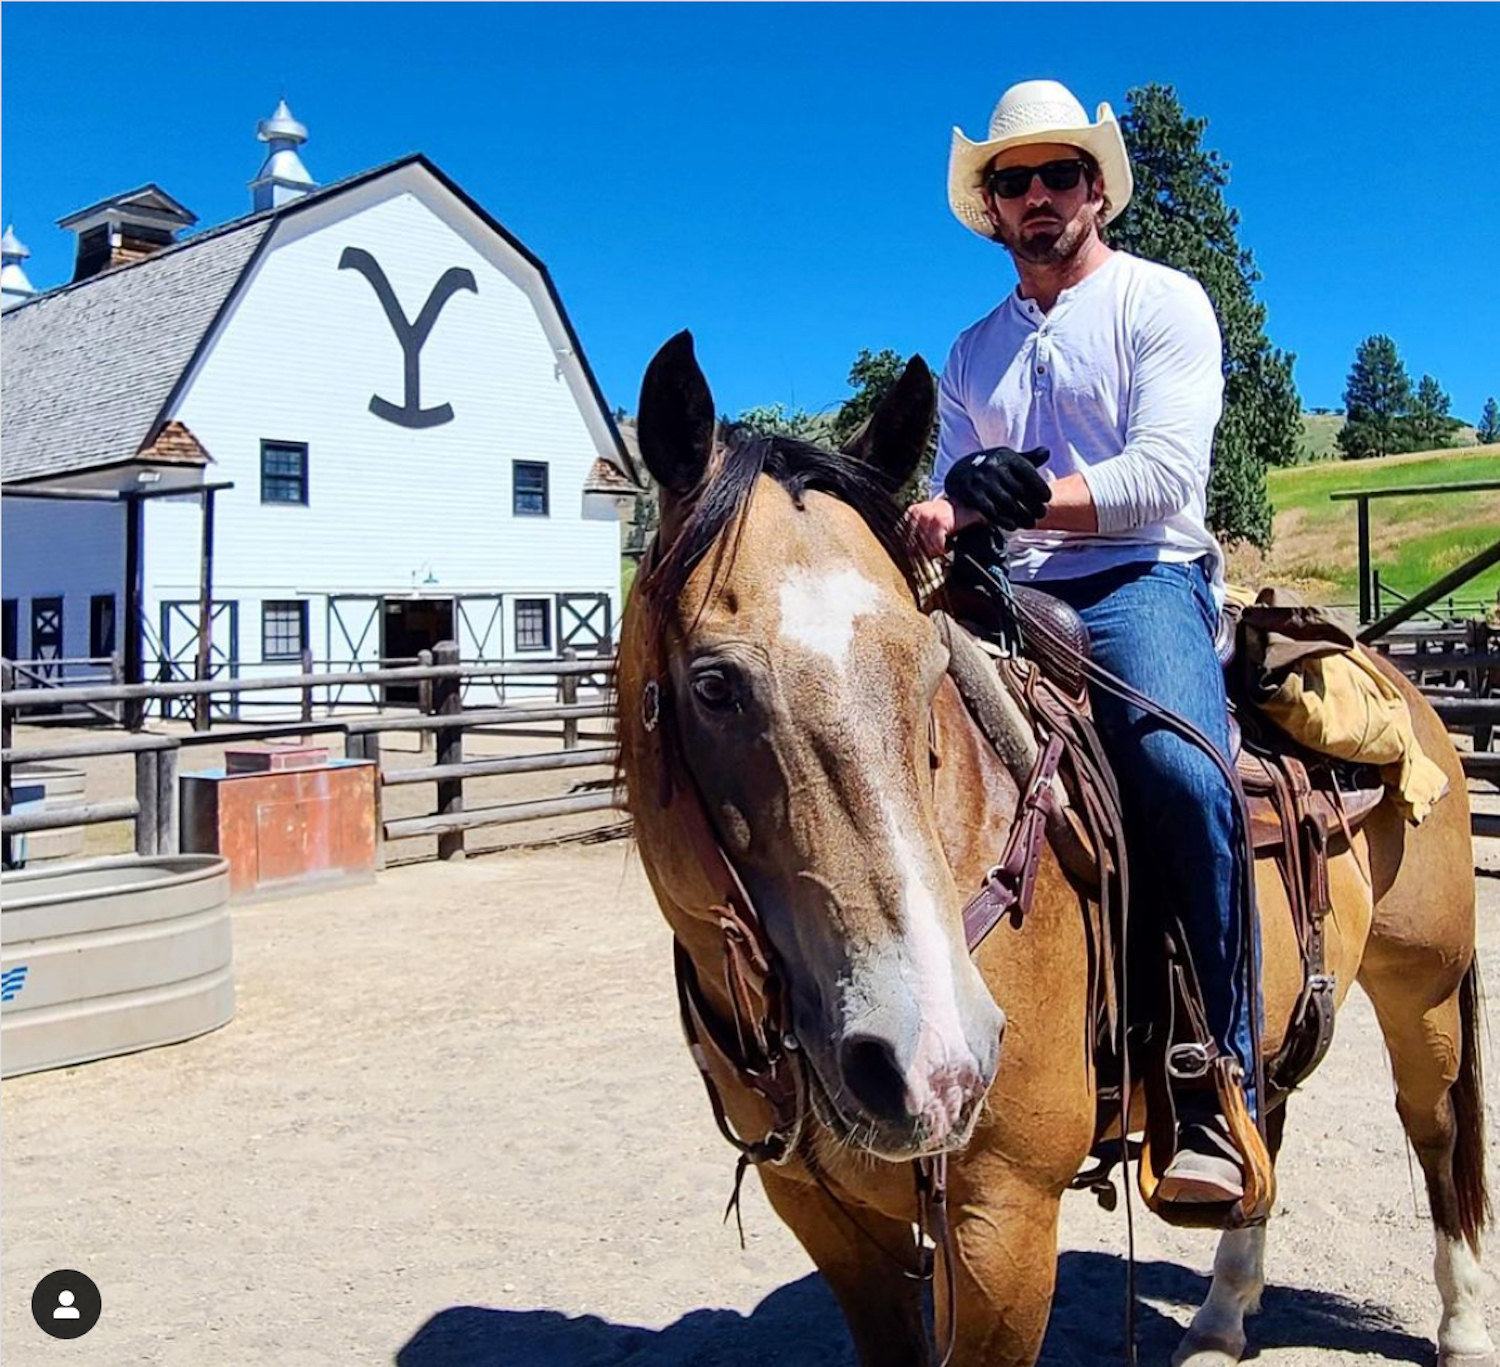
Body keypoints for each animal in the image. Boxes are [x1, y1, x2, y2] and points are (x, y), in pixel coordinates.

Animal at [615, 334, 1494, 1367]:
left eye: (928, 664)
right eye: (713, 684)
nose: (935, 1060)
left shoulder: (1004, 1225)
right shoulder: (828, 1218)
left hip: (1423, 987)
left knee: (1436, 1128)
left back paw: (1463, 1323)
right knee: (1266, 1113)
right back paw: (1221, 1315)